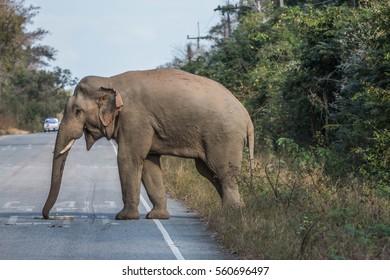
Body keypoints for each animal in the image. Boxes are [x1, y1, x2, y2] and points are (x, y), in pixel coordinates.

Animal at [42, 69, 254, 220]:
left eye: (78, 111)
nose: (47, 216)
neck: (110, 81)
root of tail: (247, 118)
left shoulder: (135, 119)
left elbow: (128, 158)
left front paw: (124, 217)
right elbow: (149, 164)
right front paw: (157, 216)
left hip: (224, 136)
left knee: (223, 172)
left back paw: (230, 214)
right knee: (209, 172)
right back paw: (238, 210)